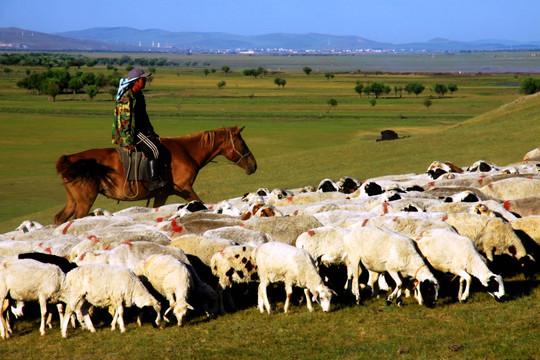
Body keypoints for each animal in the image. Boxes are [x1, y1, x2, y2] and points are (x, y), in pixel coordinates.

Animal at [53, 125, 256, 224]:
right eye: (242, 143)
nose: (253, 165)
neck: (186, 151)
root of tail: (70, 159)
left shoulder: (162, 194)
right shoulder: (184, 188)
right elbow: (199, 202)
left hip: (74, 200)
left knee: (60, 219)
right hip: (84, 201)